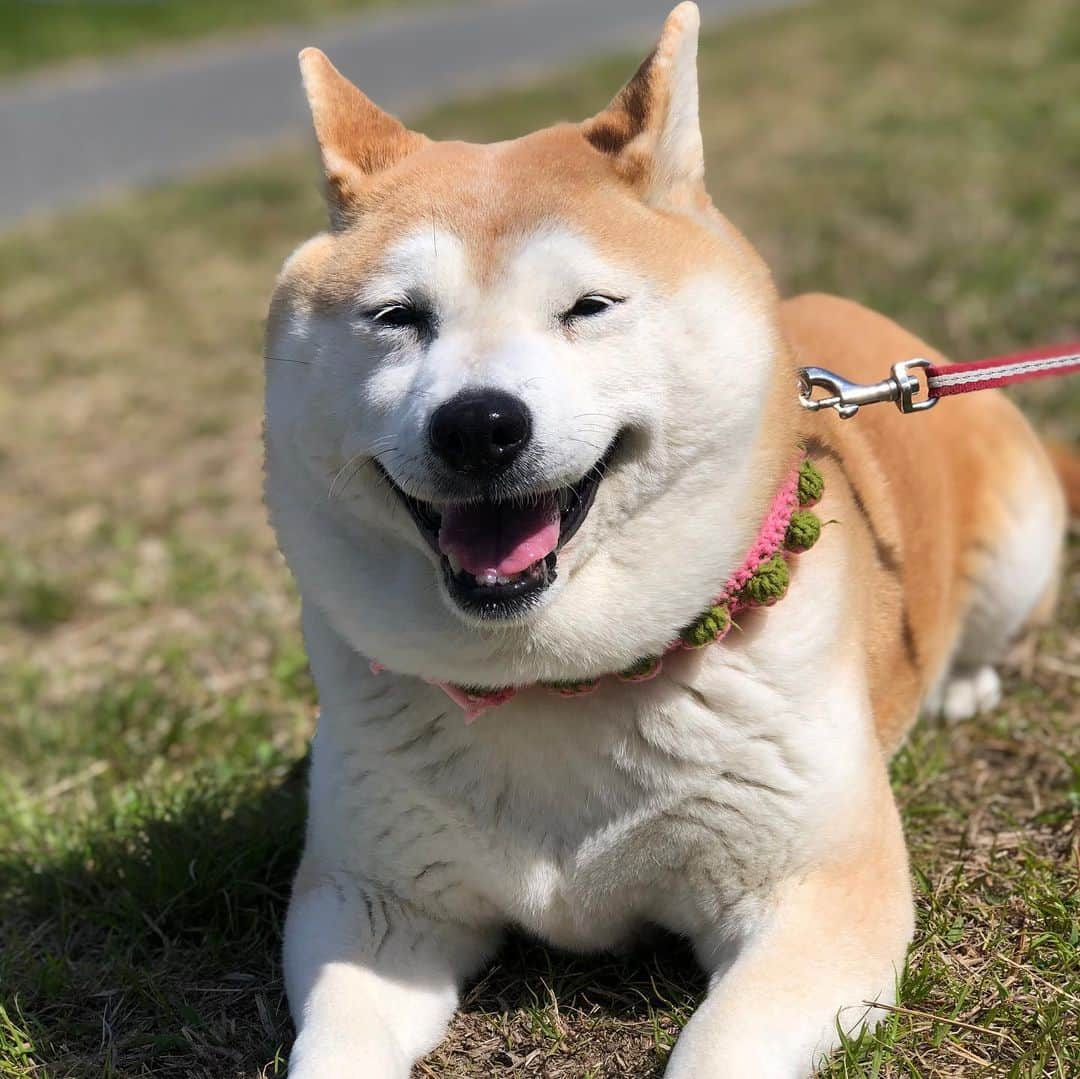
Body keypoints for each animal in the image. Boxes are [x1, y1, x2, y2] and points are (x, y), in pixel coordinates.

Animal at [265, 6, 1067, 1071]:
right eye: (397, 317)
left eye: (588, 307)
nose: (478, 424)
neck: (555, 687)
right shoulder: (371, 899)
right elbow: (338, 1035)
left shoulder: (816, 891)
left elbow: (722, 1045)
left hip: (1021, 539)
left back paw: (963, 681)